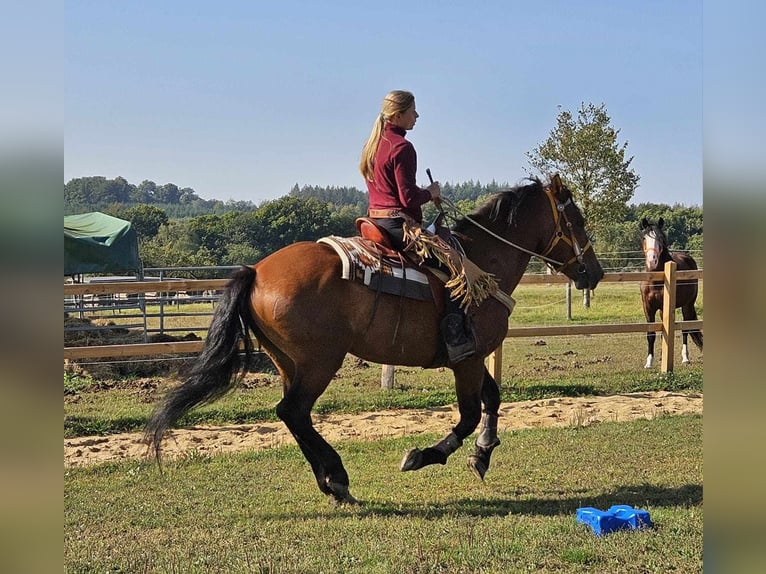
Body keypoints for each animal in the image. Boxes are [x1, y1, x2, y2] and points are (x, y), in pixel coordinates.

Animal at [146, 174, 608, 504]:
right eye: (577, 221)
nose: (596, 272)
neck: (480, 263)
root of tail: (256, 271)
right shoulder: (468, 360)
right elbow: (469, 414)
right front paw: (424, 455)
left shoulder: (472, 358)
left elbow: (492, 401)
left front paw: (481, 454)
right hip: (319, 362)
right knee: (293, 411)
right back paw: (337, 478)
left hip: (288, 362)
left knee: (295, 416)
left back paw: (332, 481)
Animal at [640, 216, 704, 368]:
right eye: (644, 237)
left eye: (661, 238)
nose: (652, 260)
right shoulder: (648, 308)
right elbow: (651, 334)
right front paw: (649, 362)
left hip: (687, 305)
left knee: (686, 329)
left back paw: (685, 358)